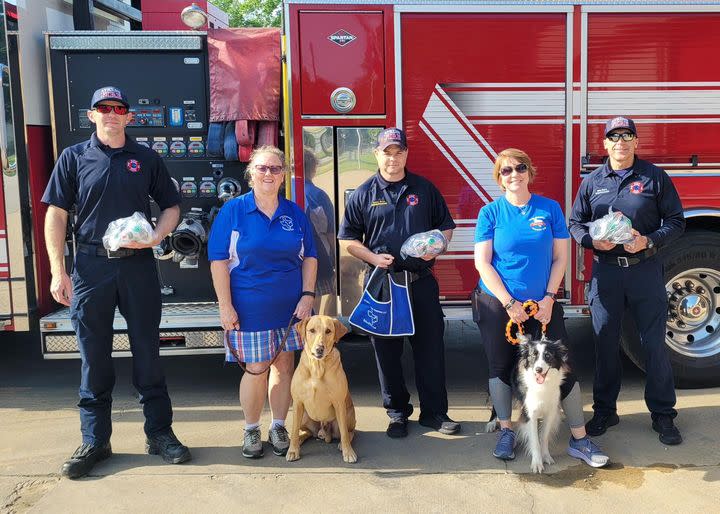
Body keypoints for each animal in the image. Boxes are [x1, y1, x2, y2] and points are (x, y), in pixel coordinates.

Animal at [286, 314, 356, 462]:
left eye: (328, 331)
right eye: (312, 330)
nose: (319, 348)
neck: (317, 367)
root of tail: (323, 430)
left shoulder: (339, 403)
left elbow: (344, 434)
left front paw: (348, 452)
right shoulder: (298, 403)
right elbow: (294, 430)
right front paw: (293, 450)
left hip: (347, 415)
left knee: (349, 432)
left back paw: (342, 443)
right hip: (305, 416)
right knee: (306, 432)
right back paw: (300, 439)